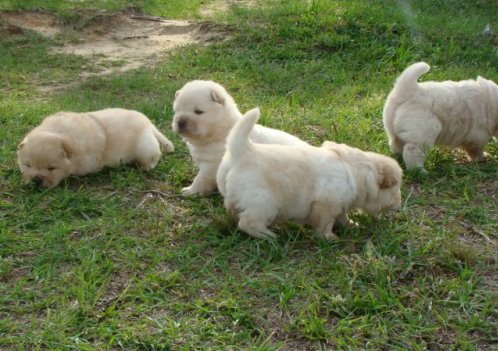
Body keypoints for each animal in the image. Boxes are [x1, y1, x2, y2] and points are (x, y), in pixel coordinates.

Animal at [18, 108, 175, 188]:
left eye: (51, 168)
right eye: (27, 165)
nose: (36, 180)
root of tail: (149, 124)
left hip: (145, 148)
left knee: (154, 157)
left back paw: (144, 166)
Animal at [172, 81, 308, 199]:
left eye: (198, 111)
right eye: (176, 110)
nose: (180, 122)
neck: (222, 132)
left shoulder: (210, 166)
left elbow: (200, 180)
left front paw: (190, 191)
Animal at [218, 108, 404, 241]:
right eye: (394, 189)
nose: (398, 205)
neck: (358, 176)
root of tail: (243, 152)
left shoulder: (340, 205)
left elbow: (342, 217)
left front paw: (352, 225)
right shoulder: (325, 204)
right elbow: (326, 224)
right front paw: (330, 238)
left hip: (236, 197)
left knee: (233, 210)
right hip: (264, 203)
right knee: (248, 222)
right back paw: (270, 236)